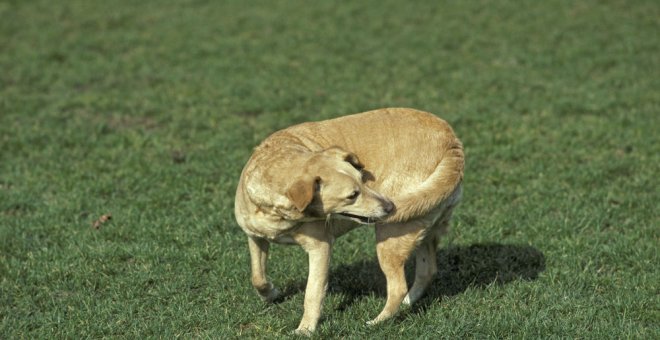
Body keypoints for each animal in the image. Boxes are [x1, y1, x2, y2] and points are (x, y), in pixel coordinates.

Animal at [235, 107, 462, 334]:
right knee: (427, 271)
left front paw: (306, 329)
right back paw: (407, 304)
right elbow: (257, 277)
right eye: (352, 195)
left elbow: (313, 292)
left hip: (390, 238)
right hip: (423, 228)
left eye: (363, 180)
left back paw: (376, 322)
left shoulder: (320, 248)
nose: (390, 207)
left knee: (398, 287)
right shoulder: (255, 238)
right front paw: (271, 294)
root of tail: (452, 142)